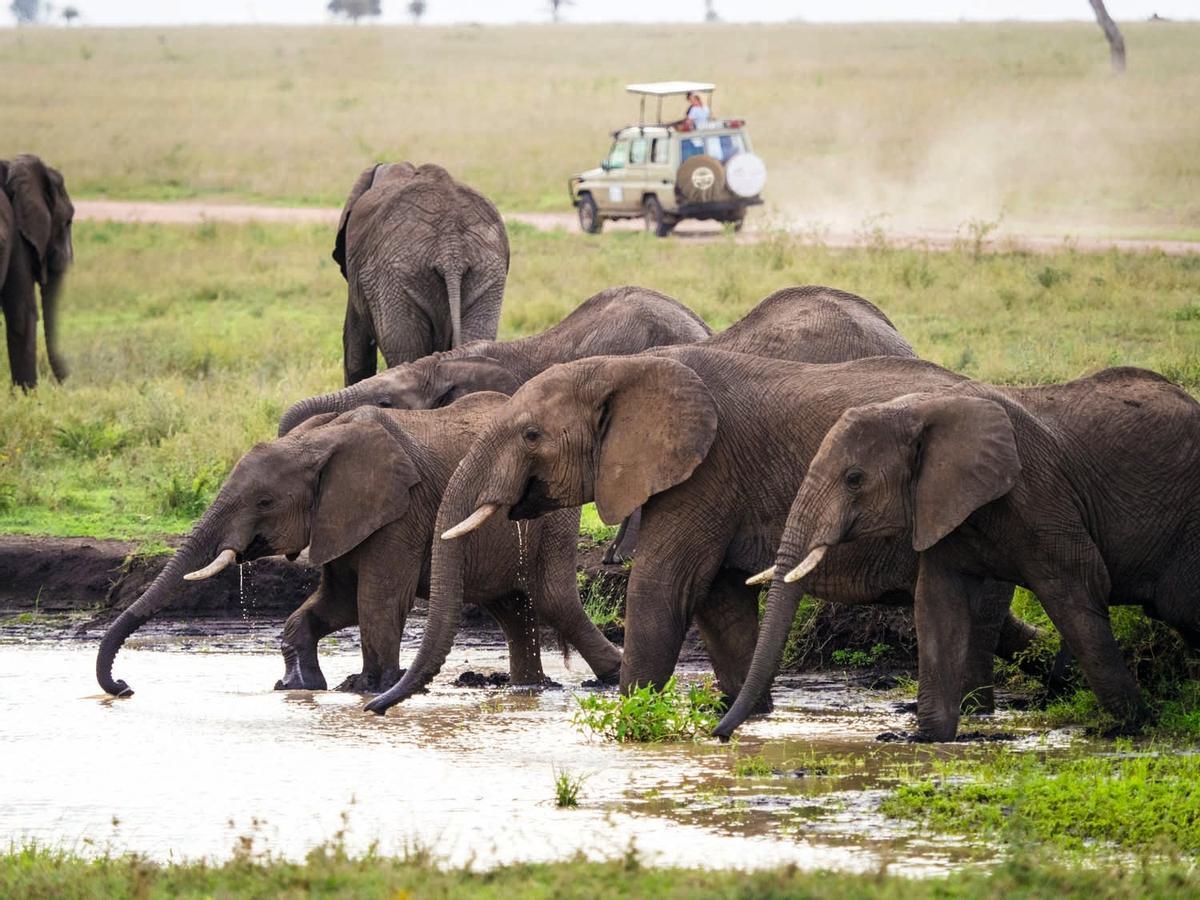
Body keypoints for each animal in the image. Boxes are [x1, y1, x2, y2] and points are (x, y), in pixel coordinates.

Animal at [96, 394, 621, 698]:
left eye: (264, 501)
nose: (124, 687)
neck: (316, 442)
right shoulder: (339, 517)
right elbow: (336, 601)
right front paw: (298, 686)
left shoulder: (401, 510)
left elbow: (376, 598)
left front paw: (365, 688)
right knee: (511, 607)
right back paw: (528, 688)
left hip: (552, 512)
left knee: (552, 599)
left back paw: (610, 676)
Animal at [363, 348, 1045, 716]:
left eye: (531, 435)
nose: (373, 708)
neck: (627, 369)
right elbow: (718, 599)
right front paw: (747, 714)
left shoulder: (705, 469)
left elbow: (664, 586)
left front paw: (632, 712)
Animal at [719, 366, 1200, 741]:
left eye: (854, 479)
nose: (720, 734)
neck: (920, 410)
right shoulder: (943, 503)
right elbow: (938, 605)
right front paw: (922, 738)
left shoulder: (1041, 496)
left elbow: (1079, 592)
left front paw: (1130, 726)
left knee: (1181, 606)